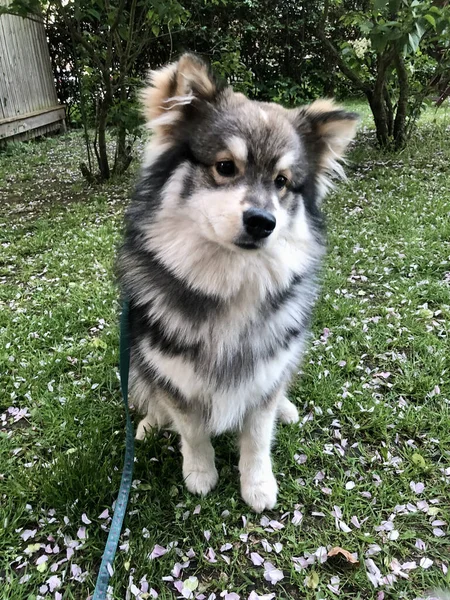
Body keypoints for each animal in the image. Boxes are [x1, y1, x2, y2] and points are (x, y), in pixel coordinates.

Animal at [117, 52, 358, 510]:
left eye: (282, 182)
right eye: (225, 167)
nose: (263, 222)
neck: (231, 282)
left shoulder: (265, 372)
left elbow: (258, 435)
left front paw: (258, 484)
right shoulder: (176, 376)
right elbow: (192, 429)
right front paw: (200, 472)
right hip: (138, 352)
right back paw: (149, 424)